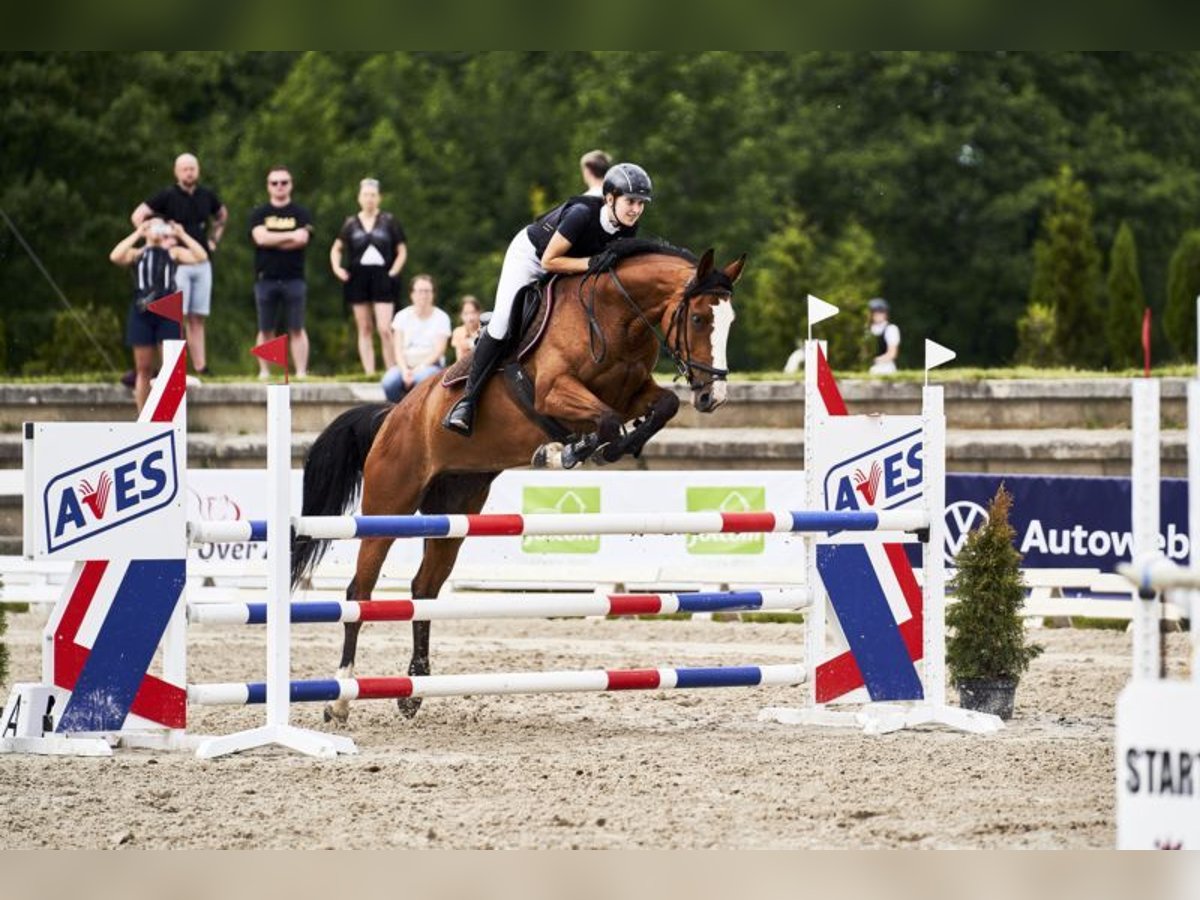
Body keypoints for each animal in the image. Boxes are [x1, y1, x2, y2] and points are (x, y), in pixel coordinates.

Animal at [289, 240, 739, 724]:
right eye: (699, 318)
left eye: (730, 321)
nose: (713, 397)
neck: (616, 314)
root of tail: (392, 415)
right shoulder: (555, 391)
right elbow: (605, 420)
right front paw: (568, 451)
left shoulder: (633, 390)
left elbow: (661, 406)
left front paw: (607, 446)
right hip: (388, 505)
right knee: (360, 592)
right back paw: (339, 699)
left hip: (455, 511)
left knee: (423, 589)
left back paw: (413, 689)